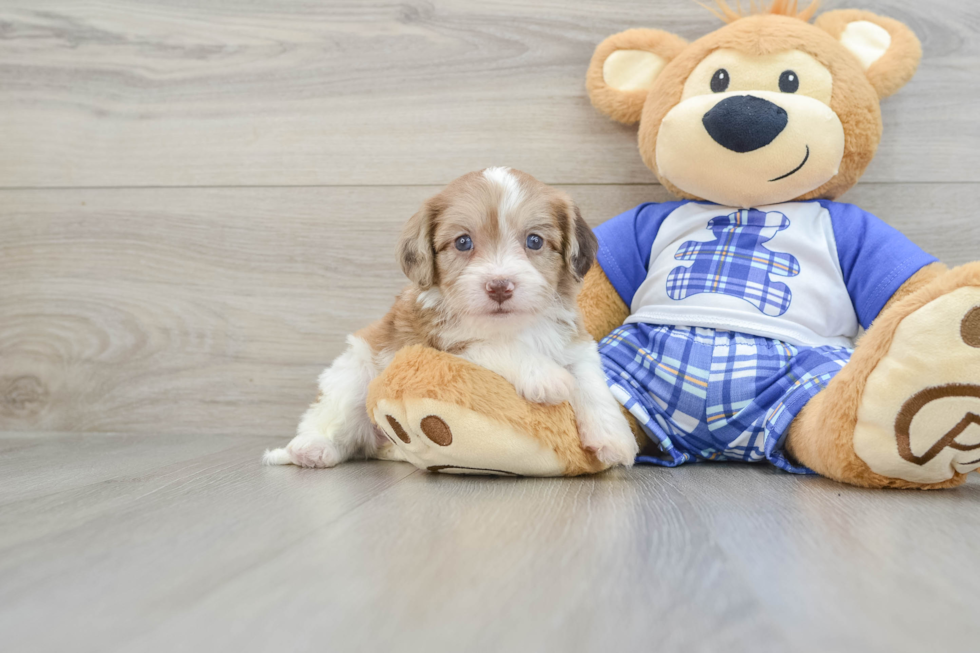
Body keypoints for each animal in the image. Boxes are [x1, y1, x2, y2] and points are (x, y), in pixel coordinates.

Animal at [264, 168, 640, 468]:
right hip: (353, 375)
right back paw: (310, 449)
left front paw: (613, 438)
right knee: (332, 423)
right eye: (463, 242)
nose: (499, 286)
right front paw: (547, 377)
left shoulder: (574, 342)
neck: (515, 325)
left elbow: (591, 381)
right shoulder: (449, 345)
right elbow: (502, 348)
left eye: (534, 240)